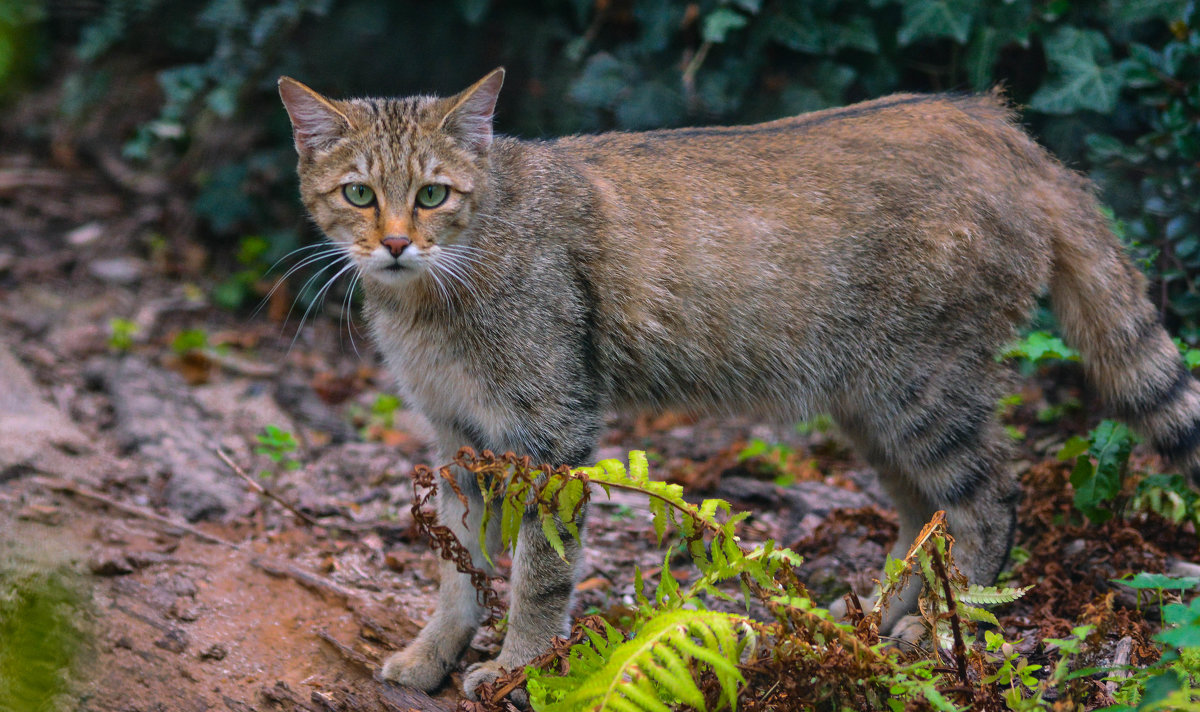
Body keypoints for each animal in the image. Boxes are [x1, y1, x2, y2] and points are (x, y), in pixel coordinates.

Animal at [276, 69, 1200, 696]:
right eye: (359, 194)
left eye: (434, 194)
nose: (396, 243)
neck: (432, 300)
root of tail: (1001, 127)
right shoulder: (457, 440)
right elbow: (457, 572)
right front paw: (432, 657)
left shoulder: (551, 431)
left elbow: (538, 572)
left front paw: (520, 668)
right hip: (875, 401)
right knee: (921, 517)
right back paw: (874, 620)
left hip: (922, 389)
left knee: (989, 503)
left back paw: (944, 631)